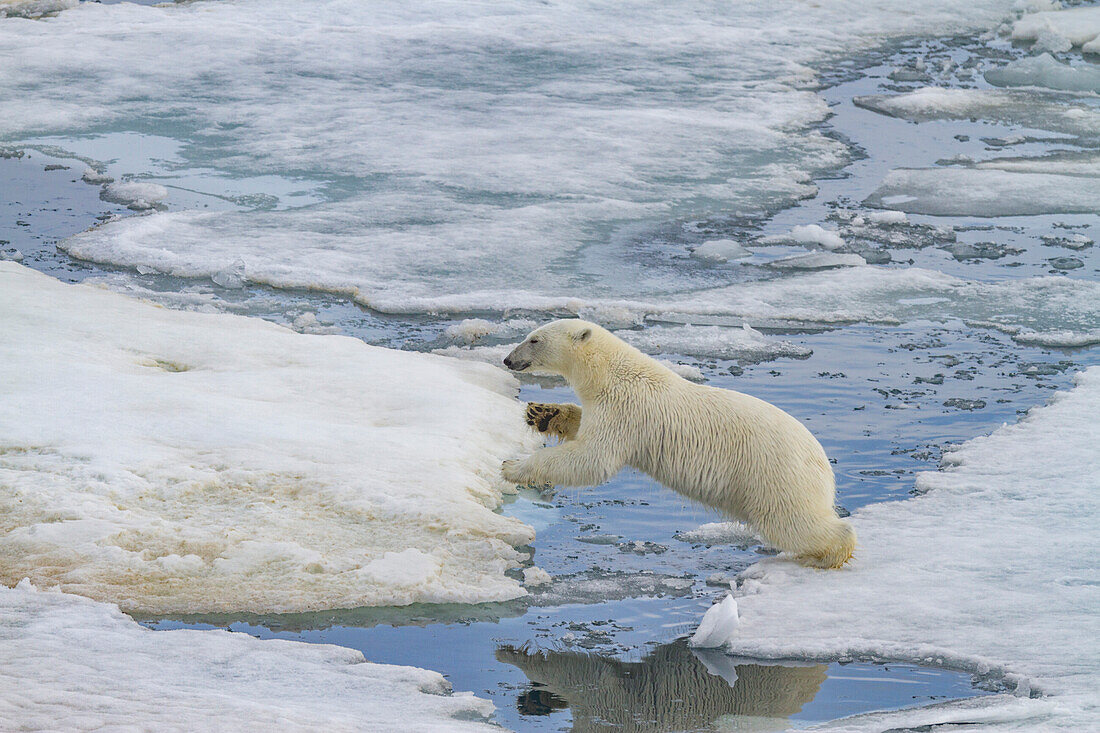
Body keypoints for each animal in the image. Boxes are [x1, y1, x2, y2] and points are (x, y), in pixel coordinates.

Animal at [503, 319, 853, 563]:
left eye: (534, 339)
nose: (507, 359)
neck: (611, 373)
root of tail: (822, 462)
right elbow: (583, 429)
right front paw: (542, 413)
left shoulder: (626, 408)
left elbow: (593, 459)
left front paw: (512, 466)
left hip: (776, 475)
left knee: (794, 522)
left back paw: (831, 554)